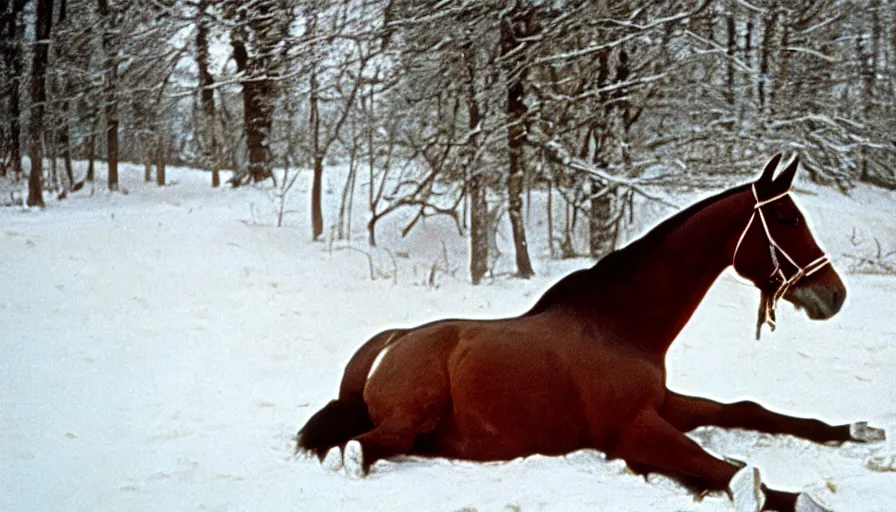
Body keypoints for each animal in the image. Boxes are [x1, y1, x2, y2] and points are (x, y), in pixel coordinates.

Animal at [298, 156, 884, 512]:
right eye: (786, 219)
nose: (834, 294)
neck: (619, 327)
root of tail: (394, 341)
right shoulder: (631, 429)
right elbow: (726, 472)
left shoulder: (662, 403)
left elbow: (747, 411)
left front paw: (856, 431)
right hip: (408, 421)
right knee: (357, 448)